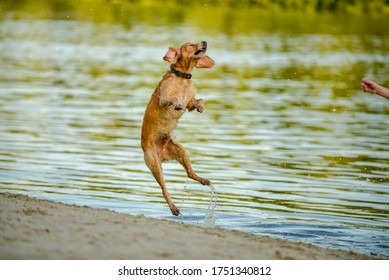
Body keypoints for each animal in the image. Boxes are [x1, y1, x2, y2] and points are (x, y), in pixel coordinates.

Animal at [140, 41, 214, 215]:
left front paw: (201, 106)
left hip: (180, 150)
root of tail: (162, 155)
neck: (183, 78)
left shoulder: (191, 102)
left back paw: (203, 180)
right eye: (191, 44)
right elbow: (172, 99)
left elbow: (200, 100)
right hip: (155, 164)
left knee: (190, 173)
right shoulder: (164, 99)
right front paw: (177, 104)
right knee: (164, 189)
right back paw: (174, 208)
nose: (205, 41)